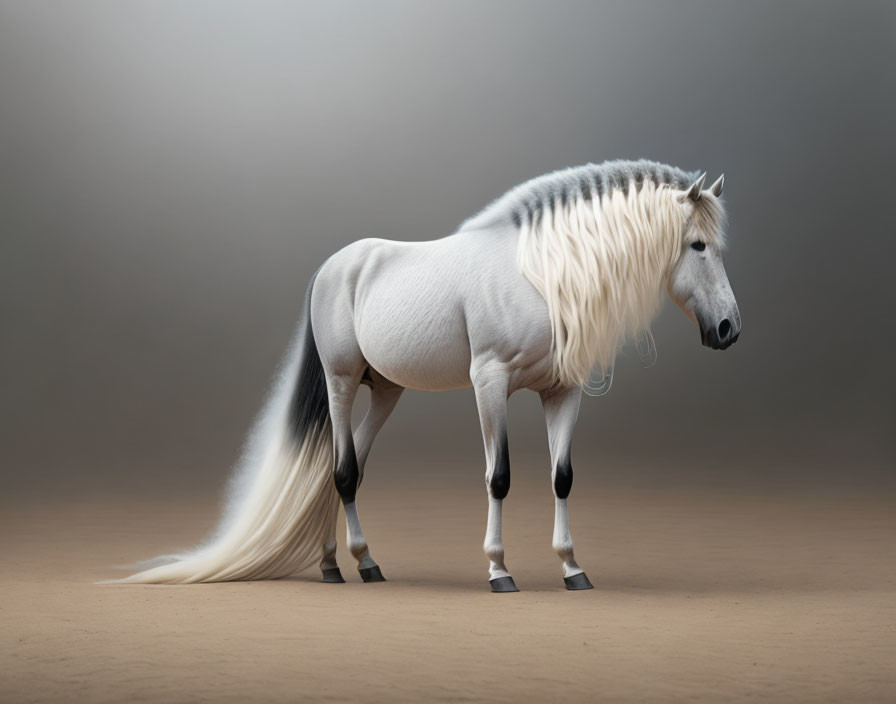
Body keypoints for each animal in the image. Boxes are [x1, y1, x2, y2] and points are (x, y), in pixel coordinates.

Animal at [119, 161, 744, 592]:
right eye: (697, 245)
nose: (729, 328)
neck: (540, 277)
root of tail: (332, 267)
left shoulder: (562, 392)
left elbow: (562, 478)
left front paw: (572, 568)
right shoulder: (490, 384)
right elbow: (499, 477)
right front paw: (499, 571)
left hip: (385, 392)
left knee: (341, 469)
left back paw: (347, 562)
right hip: (342, 383)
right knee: (342, 470)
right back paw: (348, 565)